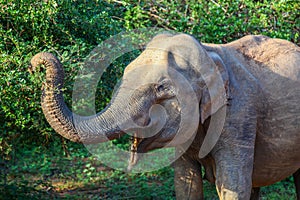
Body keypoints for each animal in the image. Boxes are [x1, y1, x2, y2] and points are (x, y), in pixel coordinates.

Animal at [31, 33, 300, 199]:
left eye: (161, 88)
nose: (36, 63)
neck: (208, 52)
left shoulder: (239, 115)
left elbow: (233, 185)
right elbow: (186, 184)